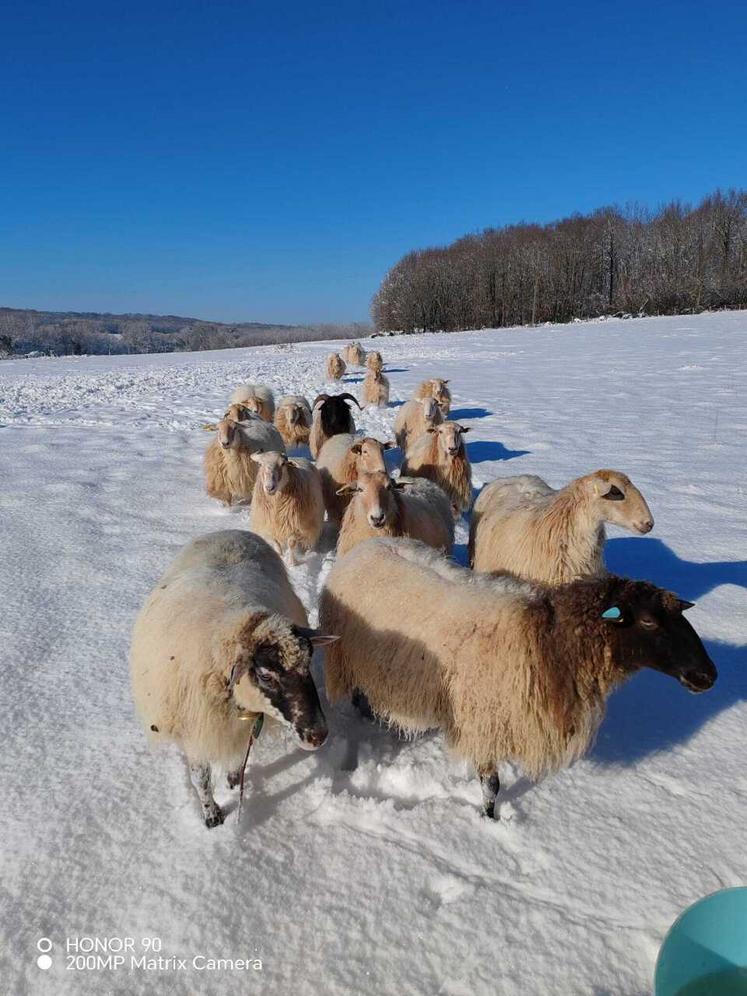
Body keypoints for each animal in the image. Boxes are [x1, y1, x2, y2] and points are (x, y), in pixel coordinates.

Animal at [131, 530, 337, 827]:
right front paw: (211, 814)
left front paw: (233, 781)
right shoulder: (195, 726)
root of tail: (230, 531)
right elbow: (200, 777)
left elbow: (238, 756)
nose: (318, 735)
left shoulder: (239, 724)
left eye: (308, 663)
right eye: (265, 675)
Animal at [319, 537, 716, 818]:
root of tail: (365, 546)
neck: (546, 638)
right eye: (648, 621)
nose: (708, 675)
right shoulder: (484, 718)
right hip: (348, 656)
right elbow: (491, 784)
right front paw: (487, 820)